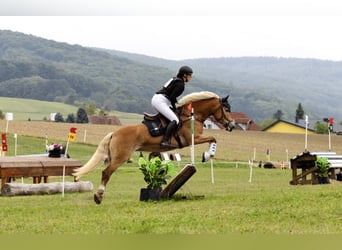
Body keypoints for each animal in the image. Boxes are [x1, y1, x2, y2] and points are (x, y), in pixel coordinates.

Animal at [73, 91, 235, 204]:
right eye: (227, 109)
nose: (232, 125)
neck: (192, 115)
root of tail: (114, 133)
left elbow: (213, 139)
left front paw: (206, 155)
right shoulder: (192, 139)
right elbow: (213, 138)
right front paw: (207, 155)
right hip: (121, 157)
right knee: (106, 172)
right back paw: (99, 196)